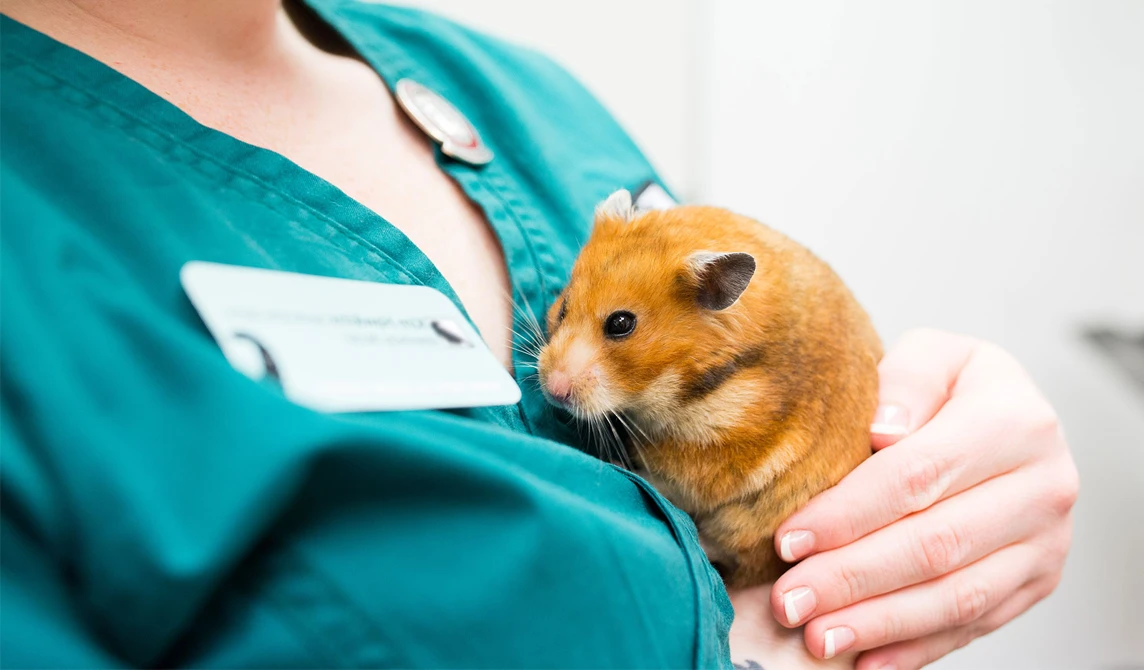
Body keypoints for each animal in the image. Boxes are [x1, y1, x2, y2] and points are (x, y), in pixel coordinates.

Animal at [536, 189, 882, 588]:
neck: (680, 382)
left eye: (621, 323)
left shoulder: (708, 457)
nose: (553, 390)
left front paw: (614, 461)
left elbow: (667, 483)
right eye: (564, 306)